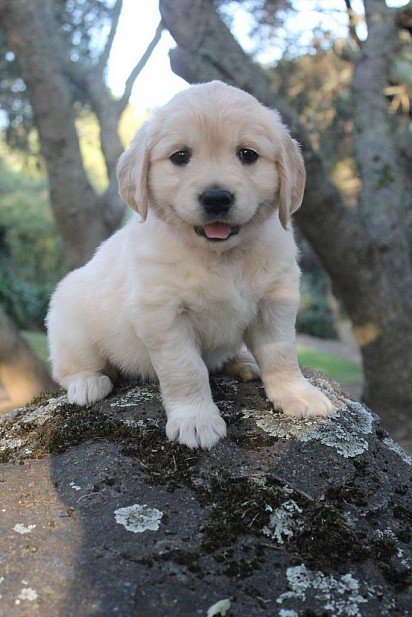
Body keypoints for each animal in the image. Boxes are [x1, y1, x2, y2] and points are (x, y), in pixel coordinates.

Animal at [46, 80, 334, 448]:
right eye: (180, 156)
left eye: (248, 154)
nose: (216, 198)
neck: (221, 256)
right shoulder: (163, 315)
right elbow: (186, 369)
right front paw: (196, 420)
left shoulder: (275, 301)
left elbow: (282, 353)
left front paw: (297, 394)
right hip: (71, 323)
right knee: (70, 367)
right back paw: (87, 382)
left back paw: (241, 361)